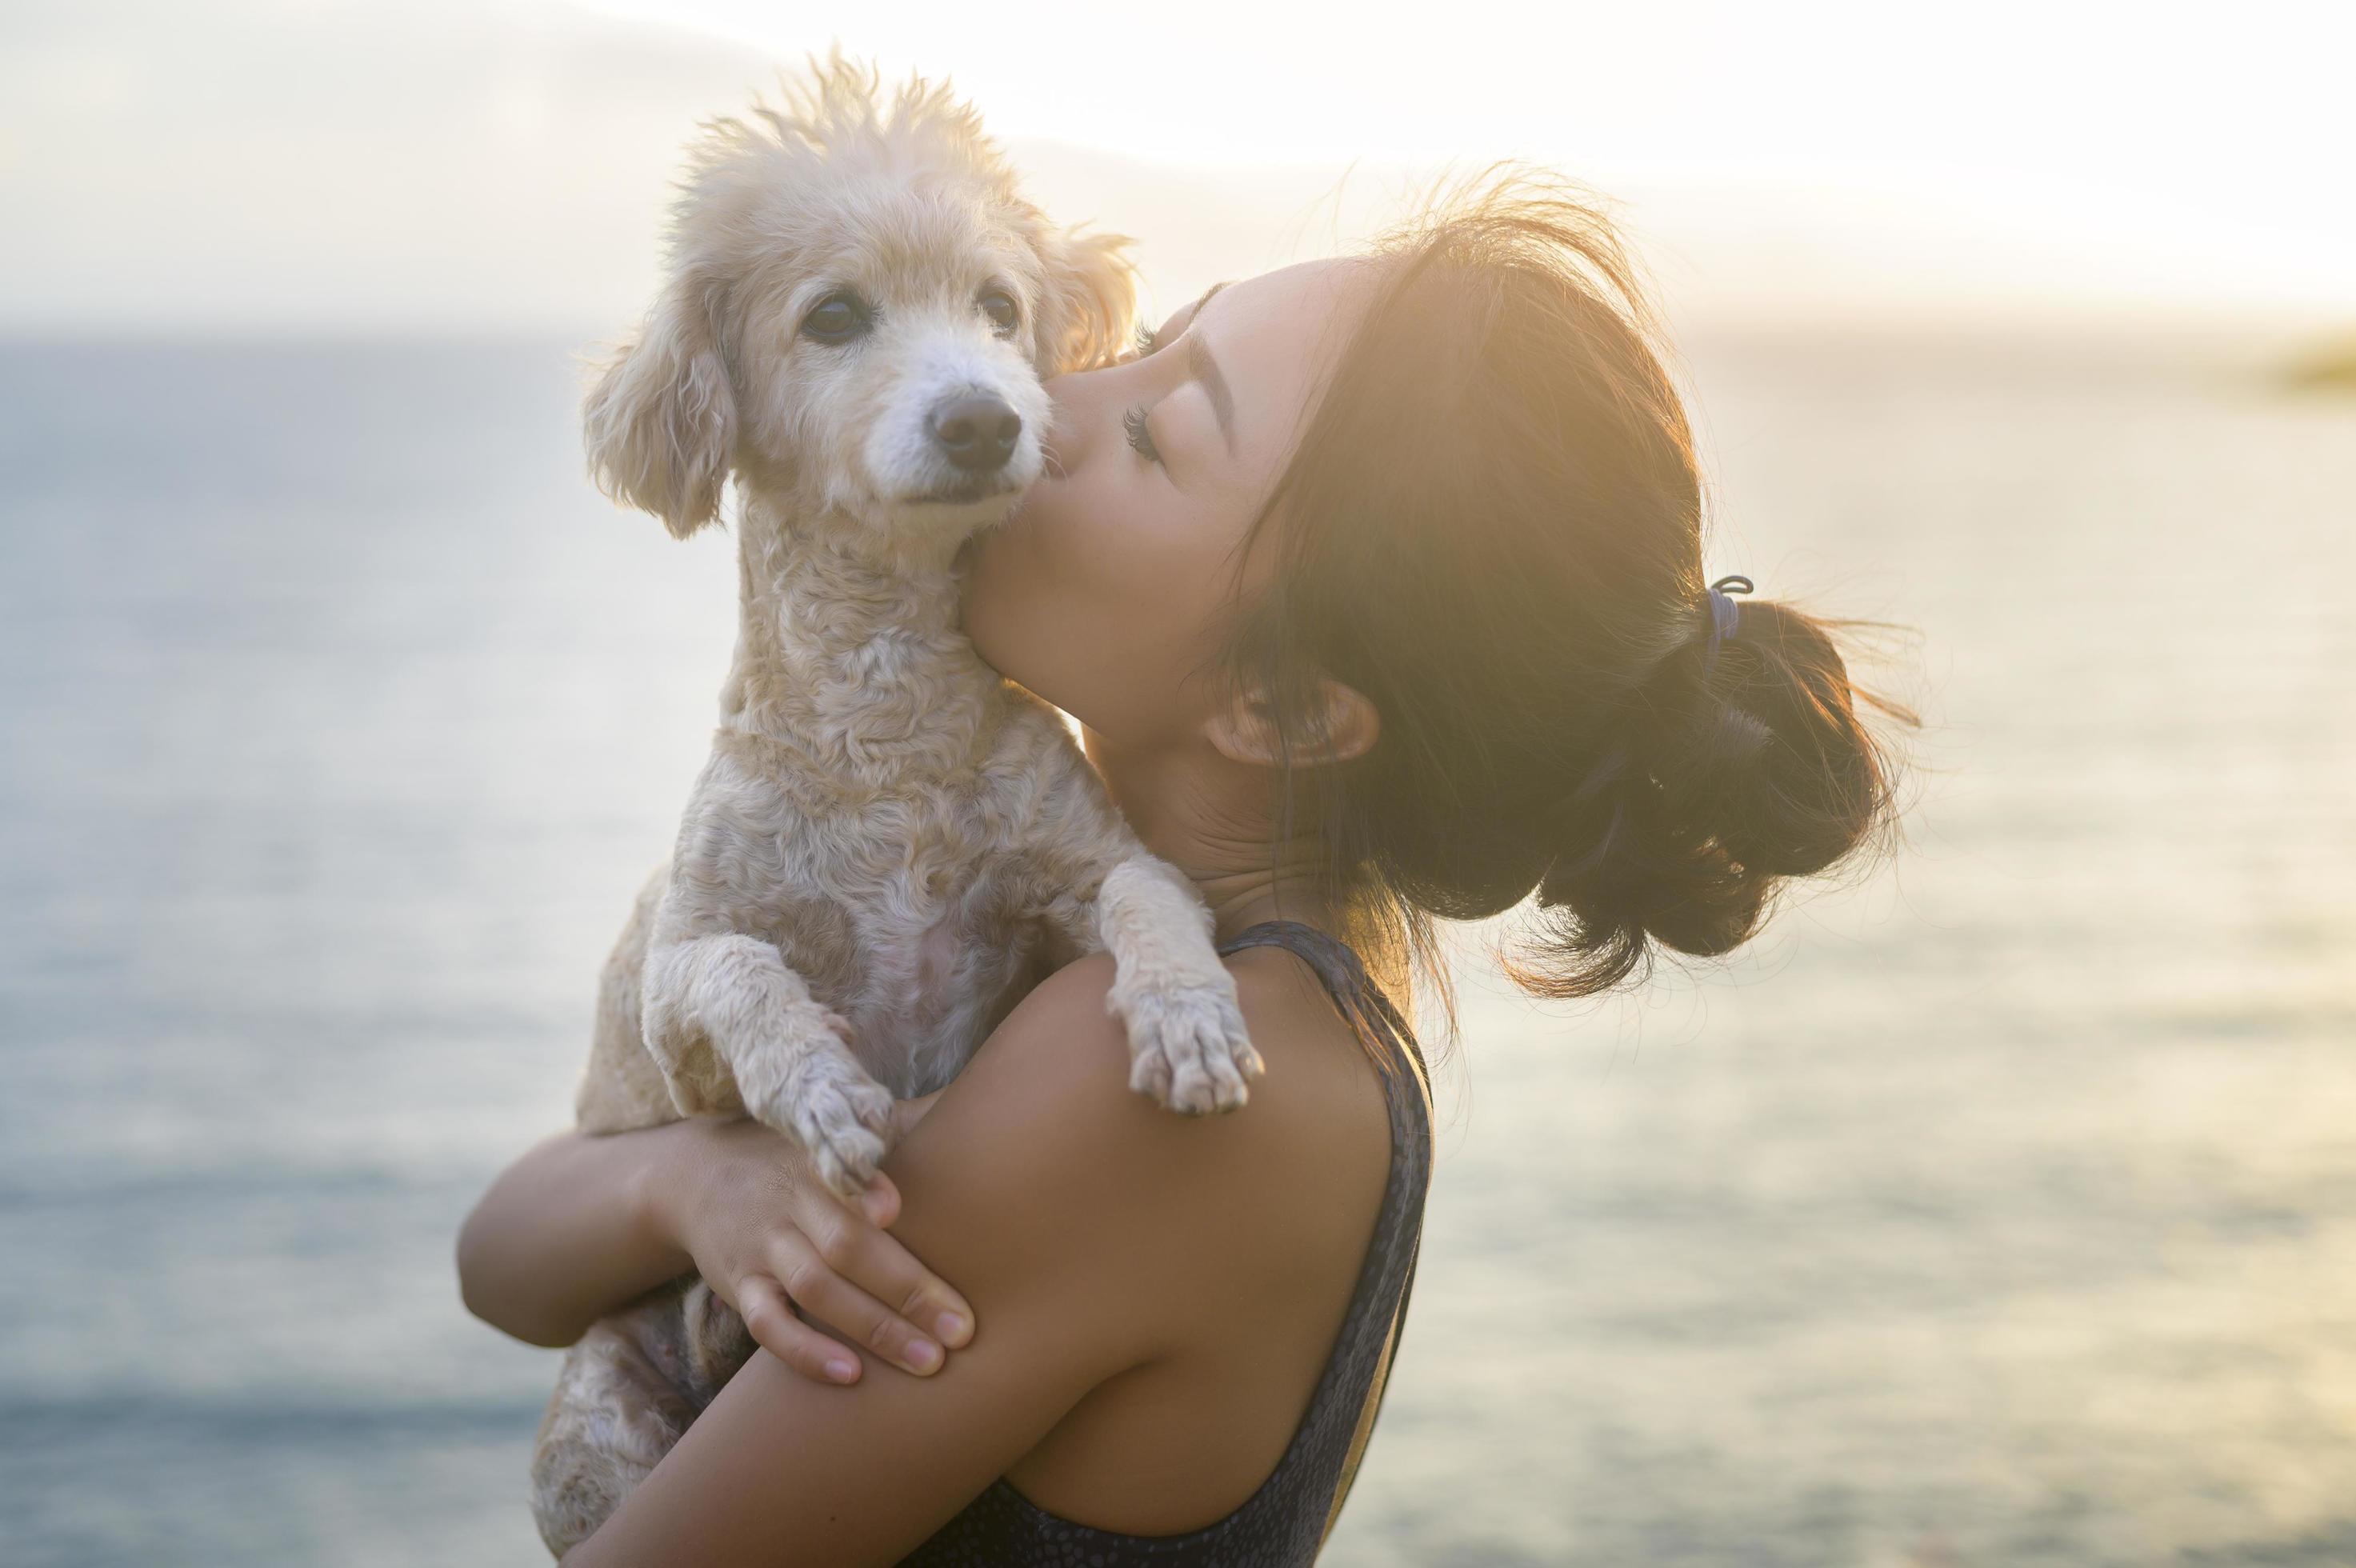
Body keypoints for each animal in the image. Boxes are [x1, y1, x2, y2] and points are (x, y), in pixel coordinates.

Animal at [530, 58, 1272, 1554]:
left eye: (997, 307)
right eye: (833, 318)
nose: (985, 416)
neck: (888, 730)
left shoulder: (1085, 859)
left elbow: (1149, 896)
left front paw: (1185, 1017)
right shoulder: (682, 1009)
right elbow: (740, 975)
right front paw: (818, 1090)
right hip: (591, 1431)